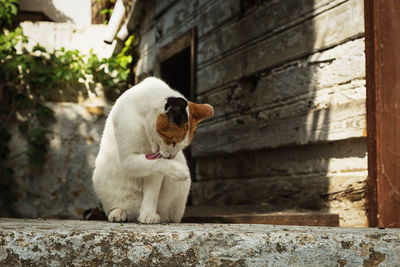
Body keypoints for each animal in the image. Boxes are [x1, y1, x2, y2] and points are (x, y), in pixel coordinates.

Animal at [92, 77, 214, 224]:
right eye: (172, 141)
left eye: (182, 147)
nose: (171, 157)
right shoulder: (127, 160)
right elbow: (157, 163)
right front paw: (180, 171)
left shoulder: (155, 174)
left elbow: (152, 191)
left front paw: (148, 214)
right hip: (101, 179)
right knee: (117, 206)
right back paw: (118, 213)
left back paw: (159, 216)